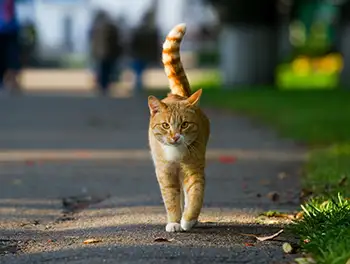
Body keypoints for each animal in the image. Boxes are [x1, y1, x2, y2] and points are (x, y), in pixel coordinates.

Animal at [146, 23, 209, 232]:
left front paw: (188, 219)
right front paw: (174, 221)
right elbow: (171, 199)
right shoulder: (165, 174)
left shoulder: (194, 171)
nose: (175, 136)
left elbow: (196, 195)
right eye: (166, 125)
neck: (176, 154)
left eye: (185, 124)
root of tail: (178, 95)